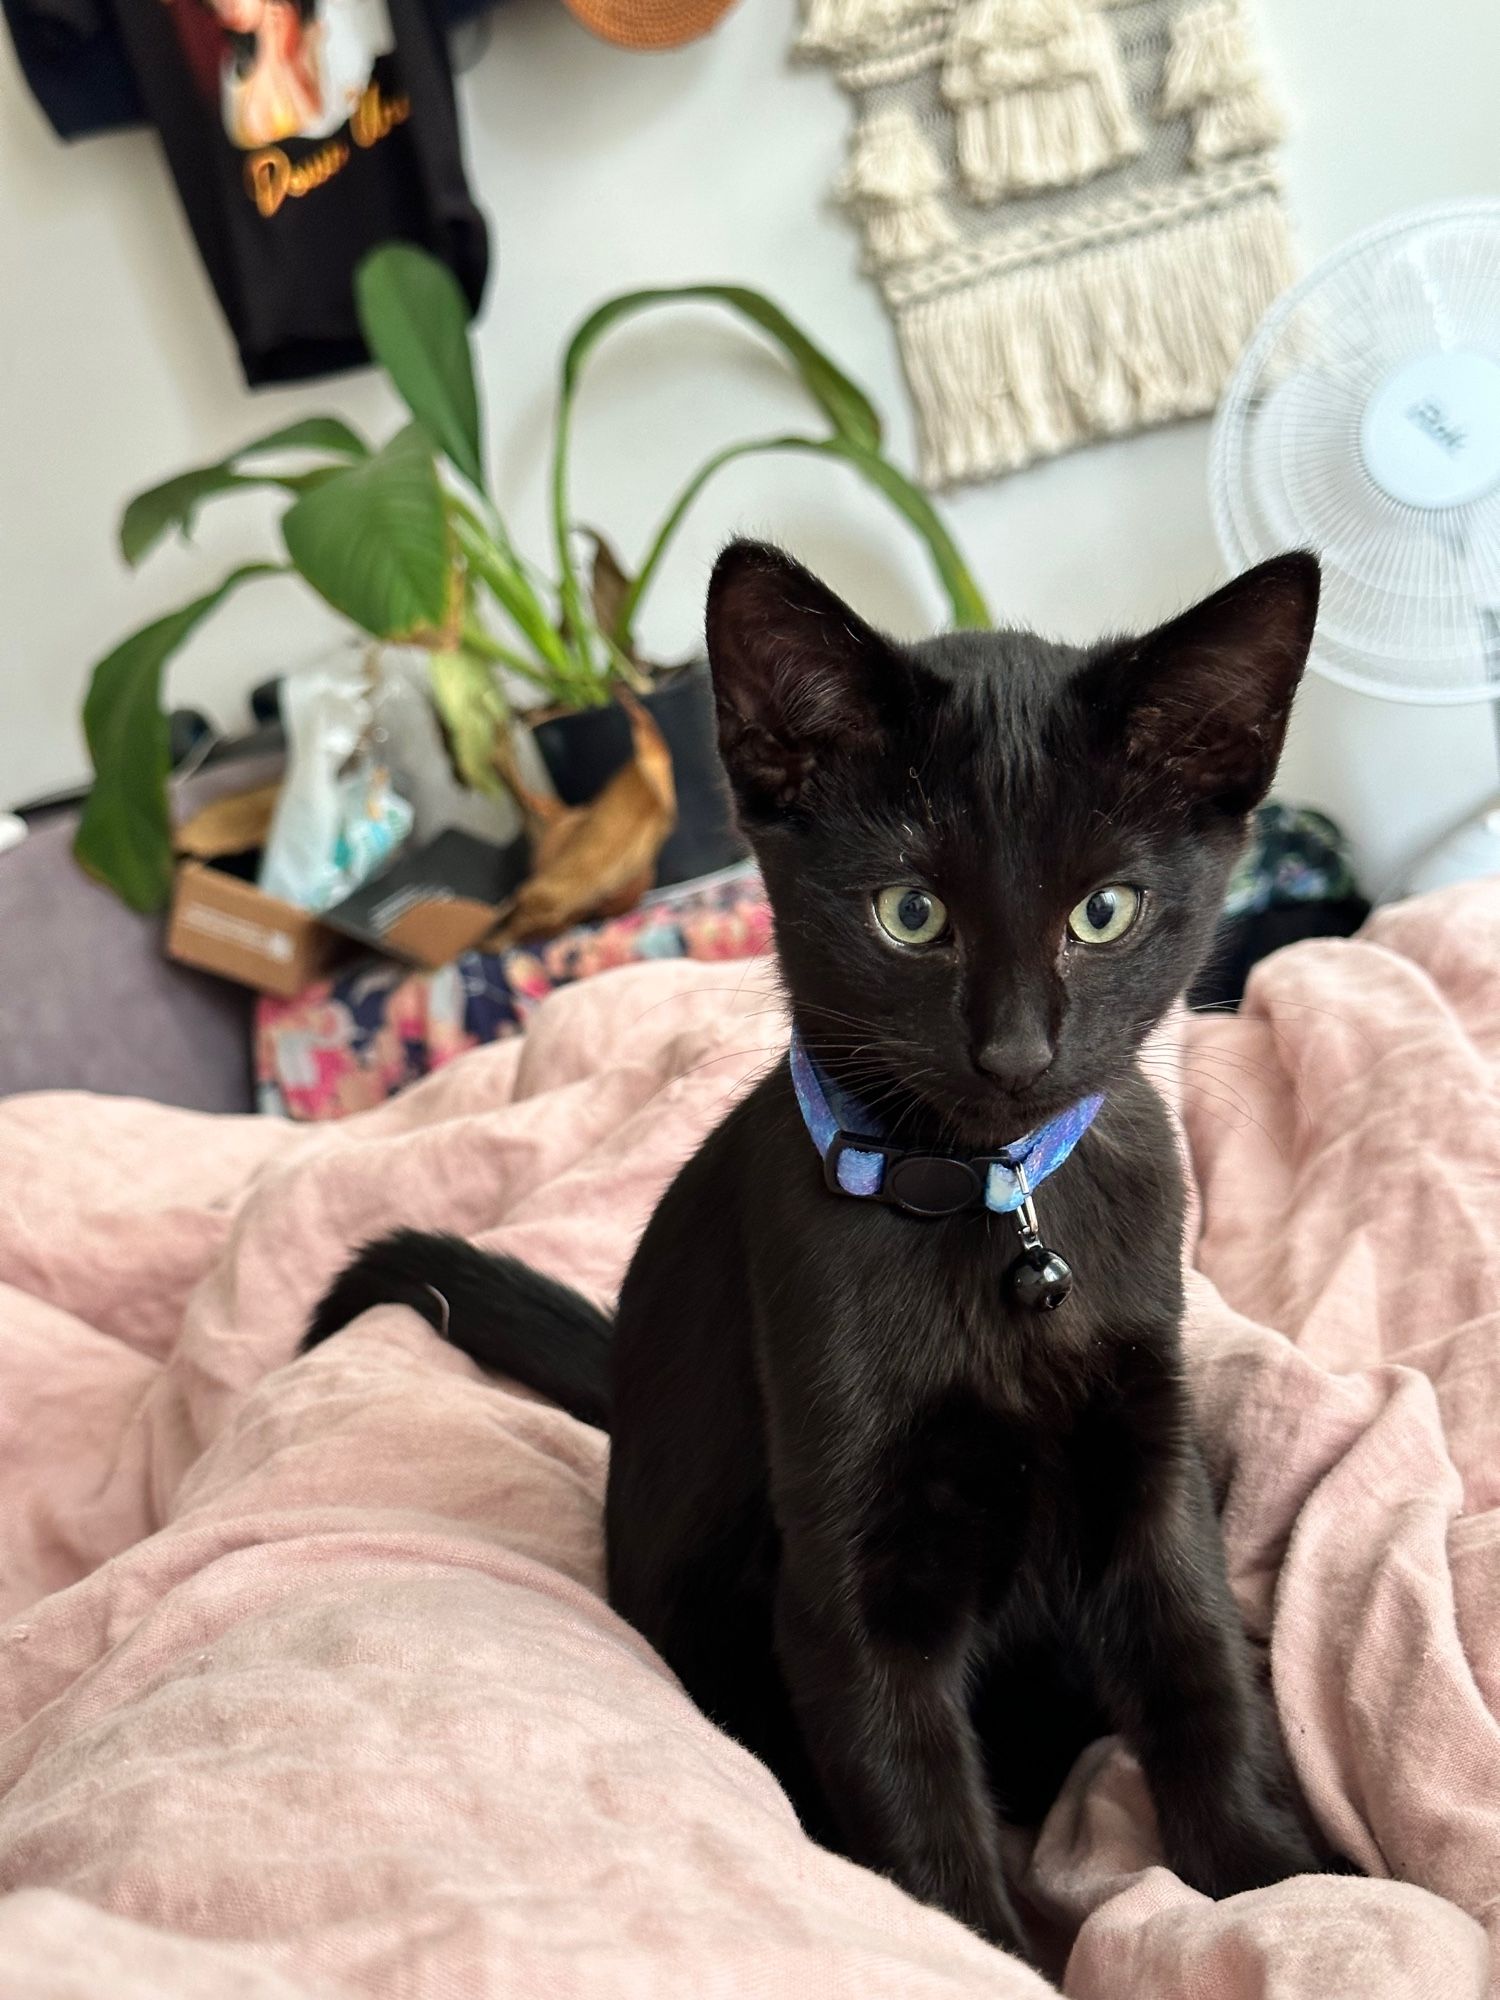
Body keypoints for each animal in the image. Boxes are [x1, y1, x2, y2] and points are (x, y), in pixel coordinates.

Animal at [312, 540, 1336, 1960]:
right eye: (910, 913)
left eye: (1106, 910)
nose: (1015, 1051)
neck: (991, 1213)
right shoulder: (847, 1586)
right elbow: (925, 1829)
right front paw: (1006, 1953)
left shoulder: (1151, 1469)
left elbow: (1203, 1684)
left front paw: (1291, 1890)